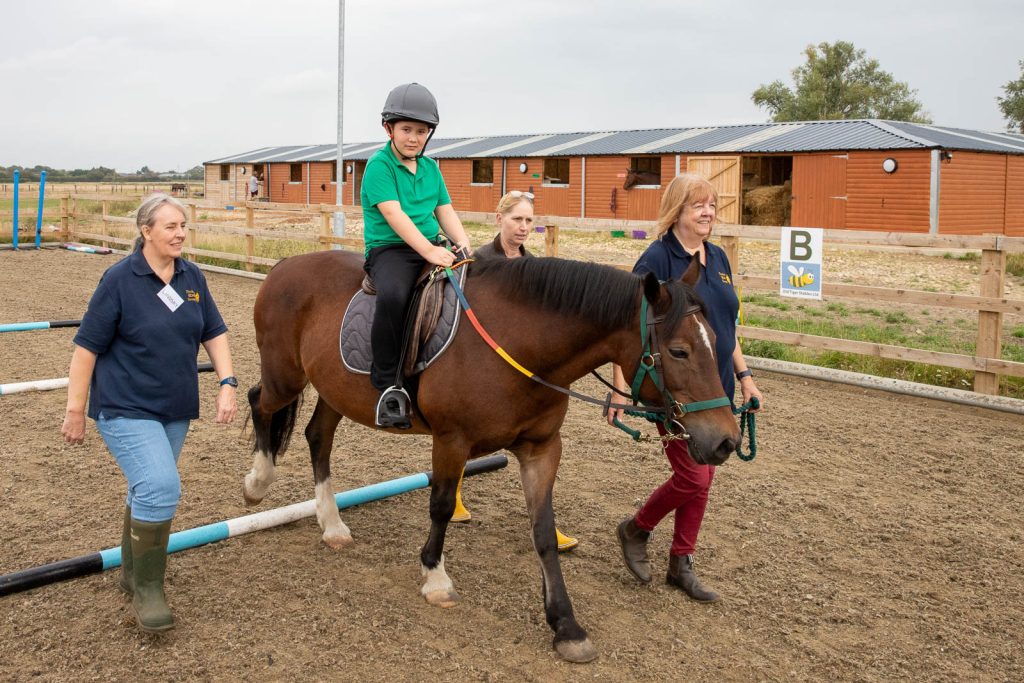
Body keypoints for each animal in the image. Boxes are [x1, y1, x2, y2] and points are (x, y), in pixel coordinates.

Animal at [242, 250, 740, 663]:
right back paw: (257, 483)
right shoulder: (451, 441)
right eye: (679, 350)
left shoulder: (542, 449)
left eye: (716, 339)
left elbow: (543, 532)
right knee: (258, 401)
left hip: (334, 390)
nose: (726, 441)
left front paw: (566, 625)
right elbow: (442, 506)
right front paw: (436, 580)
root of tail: (285, 265)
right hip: (286, 376)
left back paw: (332, 525)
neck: (521, 344)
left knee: (318, 437)